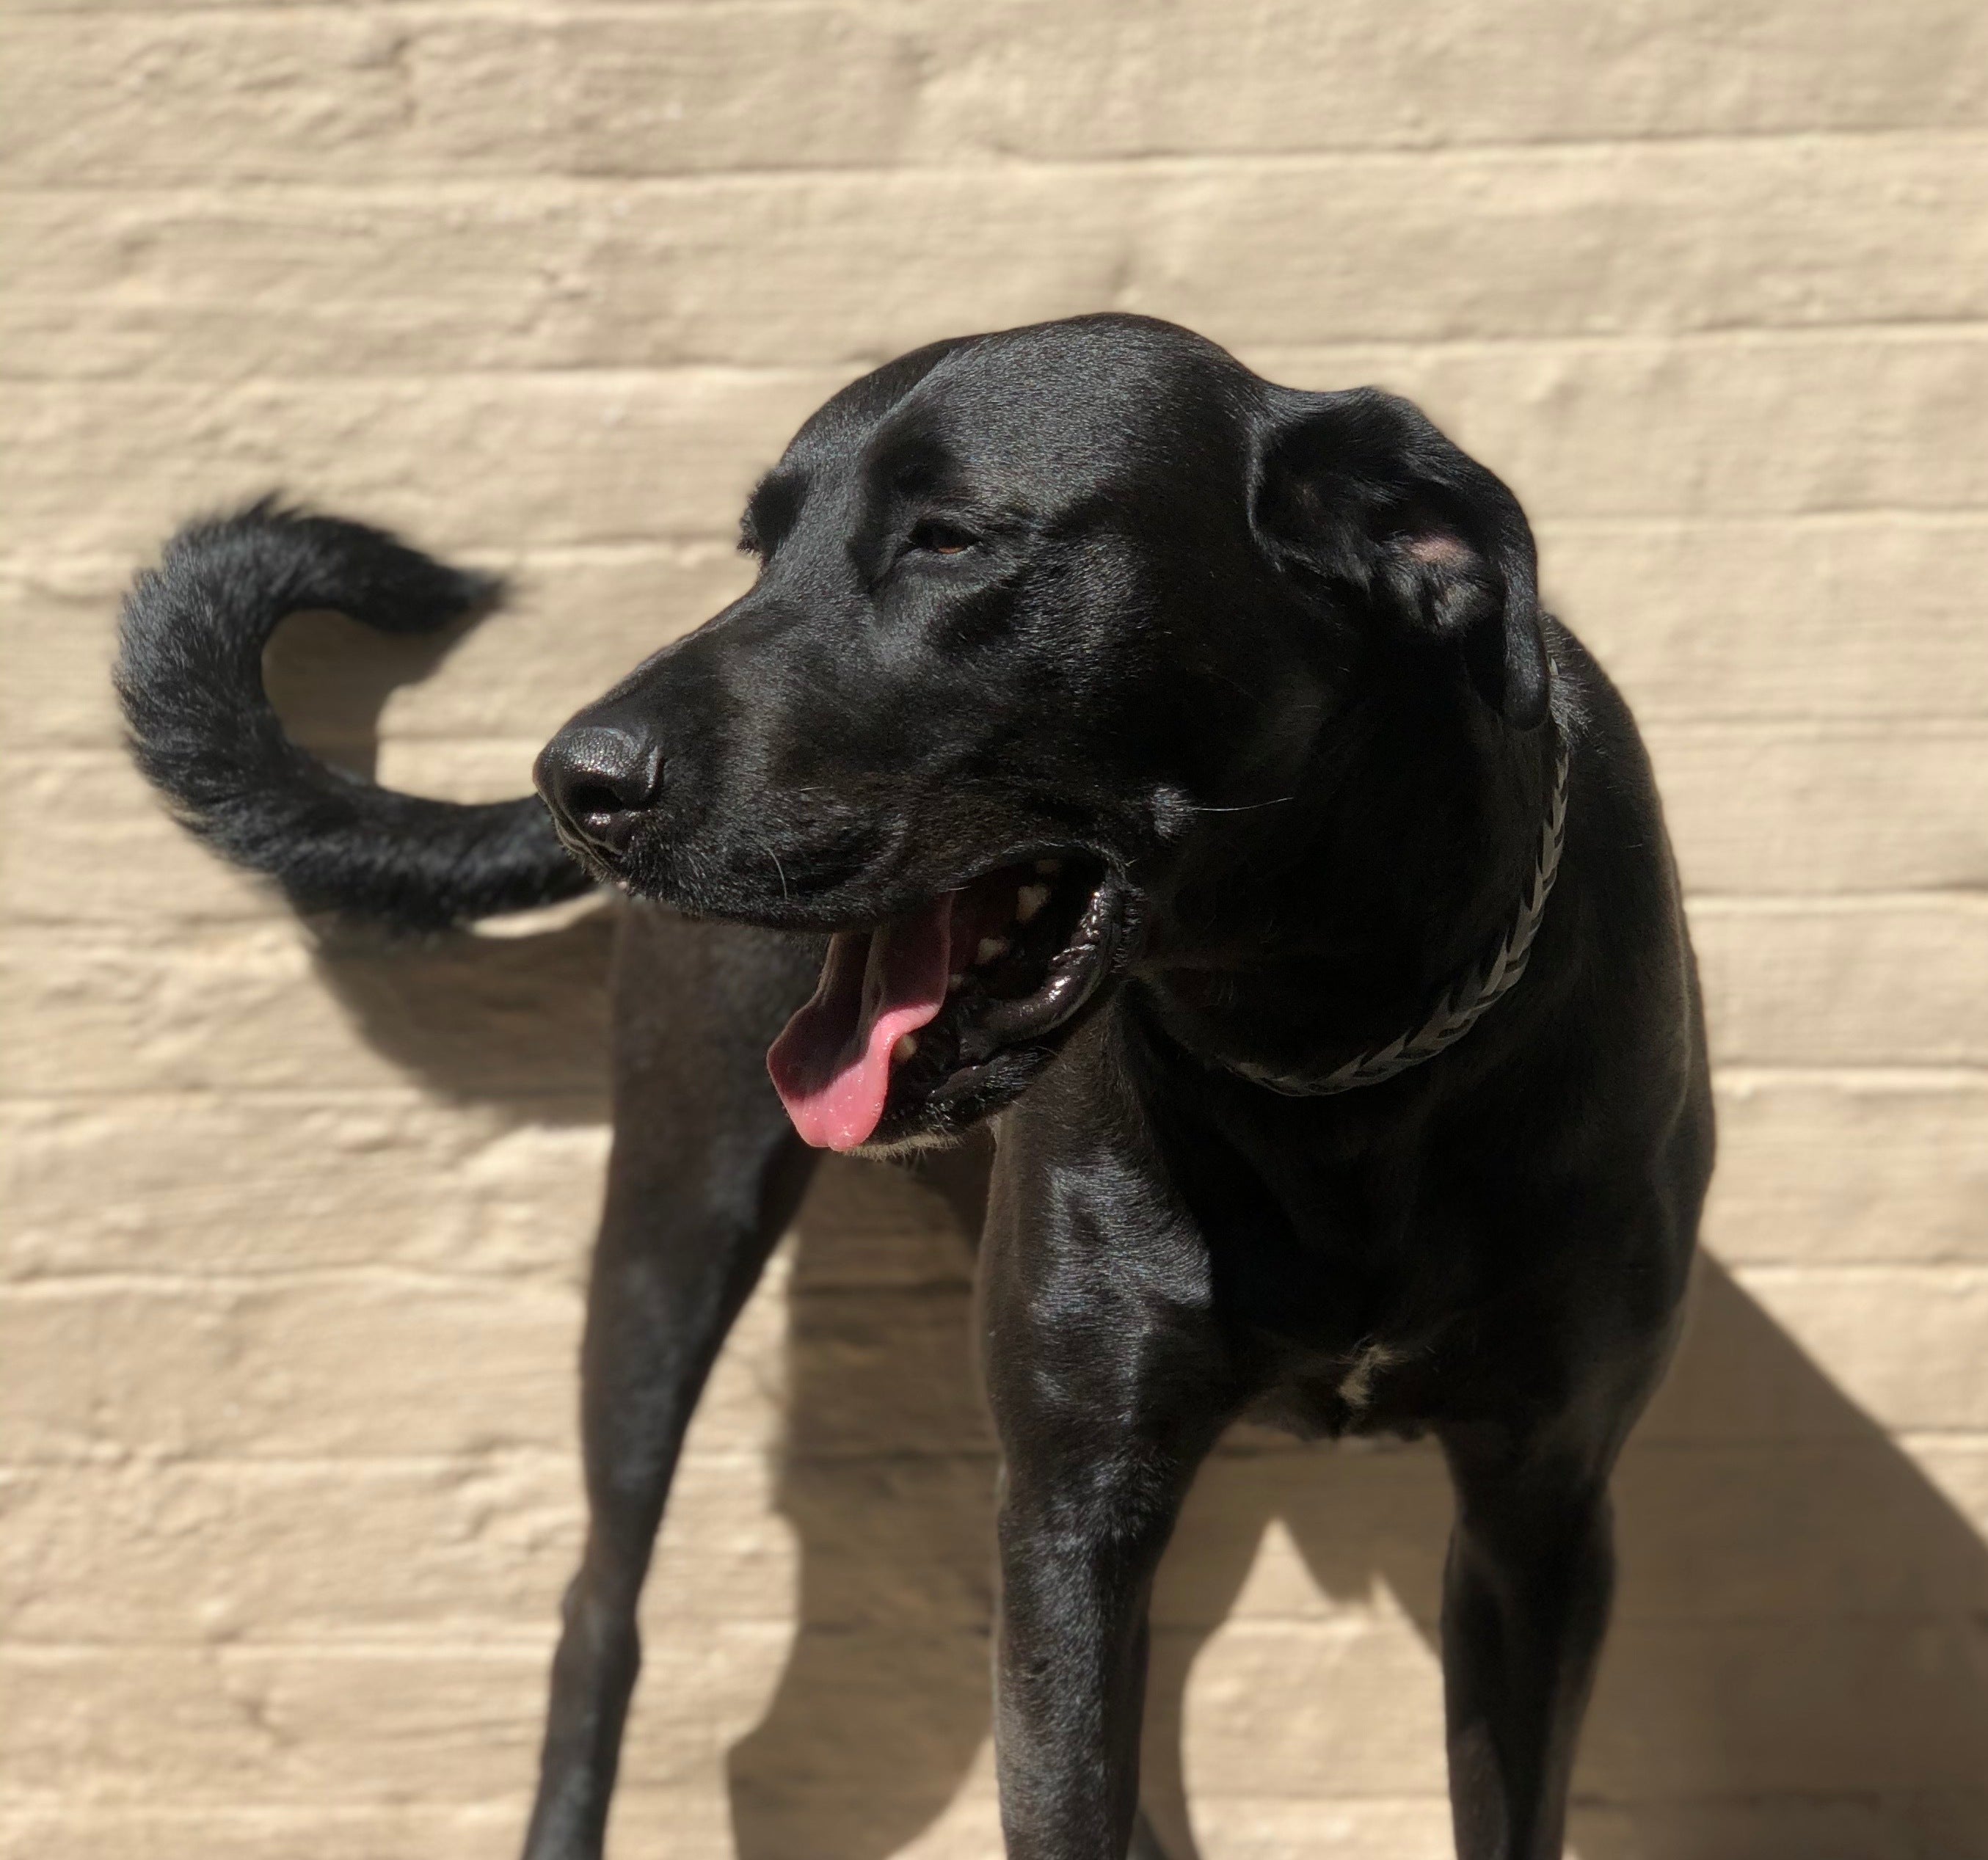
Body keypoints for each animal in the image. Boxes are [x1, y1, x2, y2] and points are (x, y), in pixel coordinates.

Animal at [112, 316, 1709, 1860]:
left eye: (948, 539)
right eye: (760, 547)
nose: (578, 782)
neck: (1323, 1056)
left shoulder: (1538, 1515)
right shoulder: (1072, 1501)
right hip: (674, 1218)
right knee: (597, 1617)